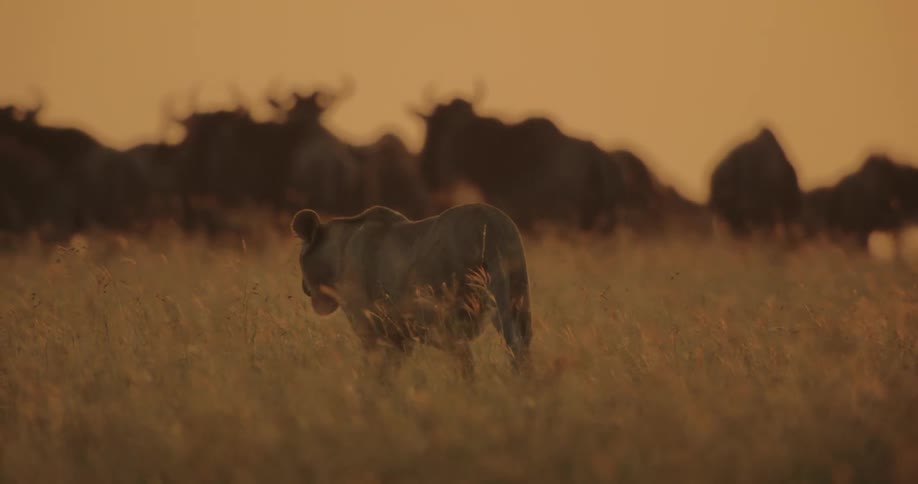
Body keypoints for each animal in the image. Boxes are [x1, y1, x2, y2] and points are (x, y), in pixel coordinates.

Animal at [291, 203, 532, 379]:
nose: (304, 287)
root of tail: (492, 221)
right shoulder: (400, 336)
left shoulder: (369, 327)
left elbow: (375, 372)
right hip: (517, 300)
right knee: (519, 349)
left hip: (452, 316)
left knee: (472, 360)